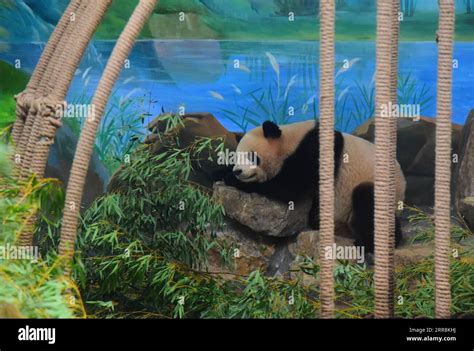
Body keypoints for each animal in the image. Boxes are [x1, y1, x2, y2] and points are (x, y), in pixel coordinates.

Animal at [217, 120, 406, 253]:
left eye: (251, 156)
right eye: (236, 157)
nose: (238, 171)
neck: (290, 140)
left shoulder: (314, 152)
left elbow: (290, 187)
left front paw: (231, 179)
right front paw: (221, 172)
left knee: (366, 200)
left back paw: (369, 243)